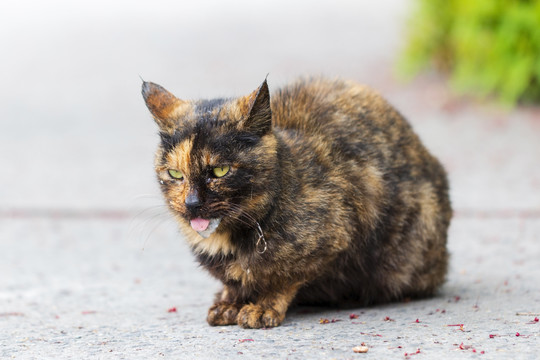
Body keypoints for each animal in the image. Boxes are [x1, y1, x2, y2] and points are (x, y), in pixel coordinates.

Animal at [142, 78, 452, 330]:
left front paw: (263, 306)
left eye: (220, 171)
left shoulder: (336, 235)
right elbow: (235, 281)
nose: (192, 203)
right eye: (175, 174)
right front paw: (230, 301)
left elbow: (284, 276)